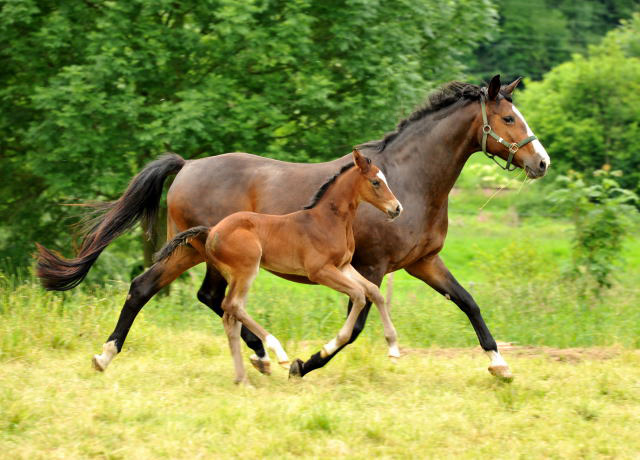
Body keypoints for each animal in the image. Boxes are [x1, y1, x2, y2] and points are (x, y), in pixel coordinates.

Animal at [37, 75, 552, 380]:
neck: (410, 177)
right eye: (509, 118)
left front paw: (500, 364)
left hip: (204, 253)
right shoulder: (372, 265)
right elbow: (357, 324)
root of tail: (187, 165)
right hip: (195, 250)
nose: (541, 162)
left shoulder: (423, 262)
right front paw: (306, 363)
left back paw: (256, 356)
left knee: (193, 295)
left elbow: (468, 302)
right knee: (163, 290)